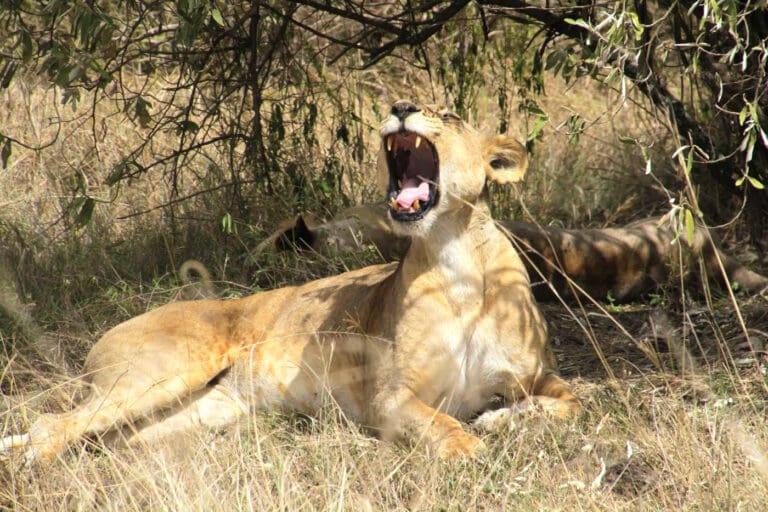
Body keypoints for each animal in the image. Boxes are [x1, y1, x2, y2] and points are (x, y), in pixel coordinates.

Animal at [1, 101, 580, 463]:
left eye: (452, 116)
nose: (400, 107)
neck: (455, 254)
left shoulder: (538, 375)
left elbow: (572, 404)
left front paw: (500, 421)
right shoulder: (390, 397)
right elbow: (443, 426)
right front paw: (470, 447)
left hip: (193, 416)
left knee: (101, 439)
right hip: (159, 375)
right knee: (53, 425)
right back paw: (36, 464)